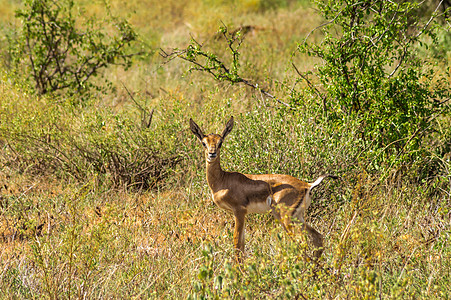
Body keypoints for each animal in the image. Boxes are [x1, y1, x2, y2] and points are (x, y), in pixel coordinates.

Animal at [190, 116, 336, 262]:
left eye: (220, 142)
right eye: (204, 143)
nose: (212, 154)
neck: (222, 180)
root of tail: (307, 185)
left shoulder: (239, 211)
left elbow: (237, 242)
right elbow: (242, 244)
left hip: (285, 218)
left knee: (302, 242)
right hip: (297, 217)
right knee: (318, 237)